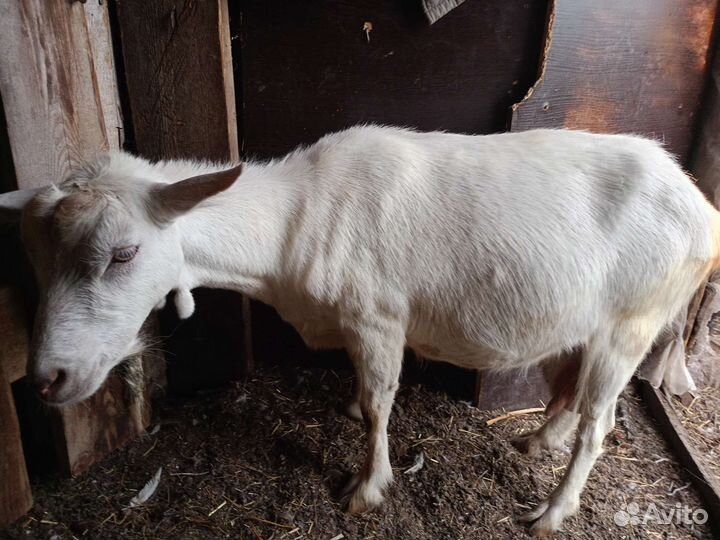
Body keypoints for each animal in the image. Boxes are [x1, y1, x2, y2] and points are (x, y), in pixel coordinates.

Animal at [2, 125, 718, 536]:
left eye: (123, 254)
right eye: (33, 260)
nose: (48, 378)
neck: (295, 218)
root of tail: (700, 206)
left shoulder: (379, 317)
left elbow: (380, 405)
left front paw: (365, 489)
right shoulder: (353, 323)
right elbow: (361, 393)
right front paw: (347, 415)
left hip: (633, 320)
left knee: (601, 422)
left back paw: (550, 513)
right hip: (588, 324)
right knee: (570, 391)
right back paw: (536, 441)